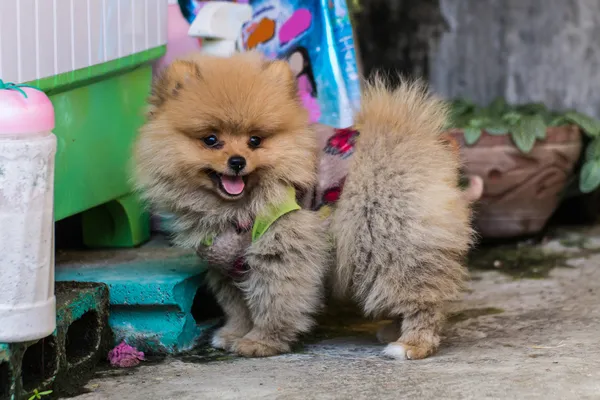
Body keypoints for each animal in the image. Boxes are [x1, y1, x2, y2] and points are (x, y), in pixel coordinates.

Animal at [135, 50, 474, 360]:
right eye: (210, 139)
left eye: (255, 140)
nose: (237, 161)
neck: (236, 207)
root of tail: (414, 139)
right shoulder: (226, 264)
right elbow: (237, 305)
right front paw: (234, 333)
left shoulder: (282, 250)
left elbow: (274, 301)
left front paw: (261, 342)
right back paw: (394, 330)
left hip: (387, 237)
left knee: (421, 293)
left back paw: (412, 343)